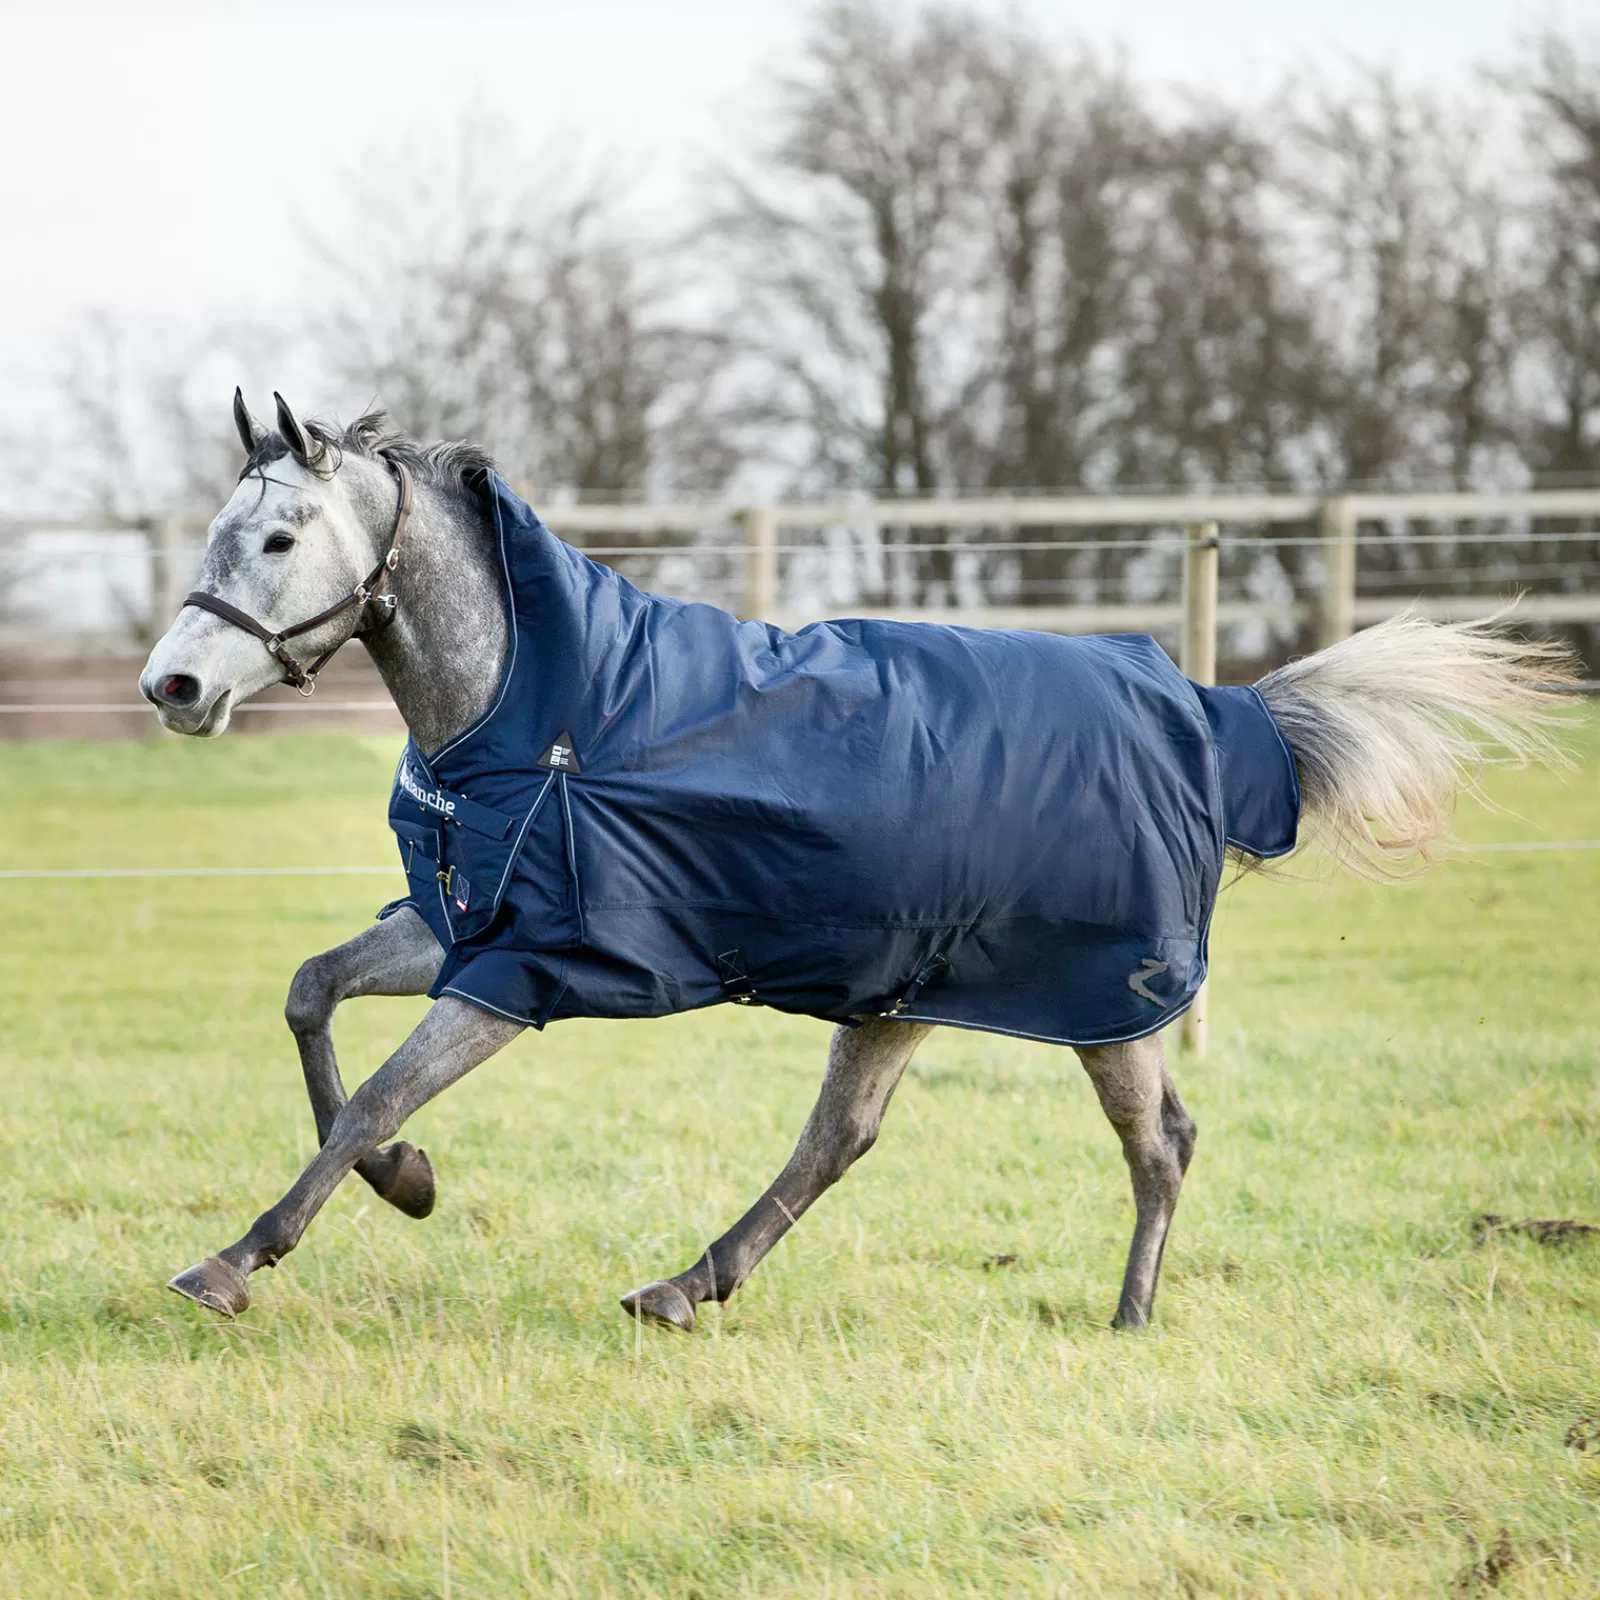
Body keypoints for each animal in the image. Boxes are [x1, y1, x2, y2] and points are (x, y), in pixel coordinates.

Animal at [140, 396, 1574, 1337]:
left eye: (277, 540)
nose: (175, 686)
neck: (541, 711)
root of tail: (1208, 714)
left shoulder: (521, 972)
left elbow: (378, 1093)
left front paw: (238, 1257)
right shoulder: (464, 931)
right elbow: (311, 994)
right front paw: (409, 1184)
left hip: (1103, 1002)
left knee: (1160, 1139)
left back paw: (1128, 1315)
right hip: (908, 991)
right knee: (839, 1140)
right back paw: (684, 1286)